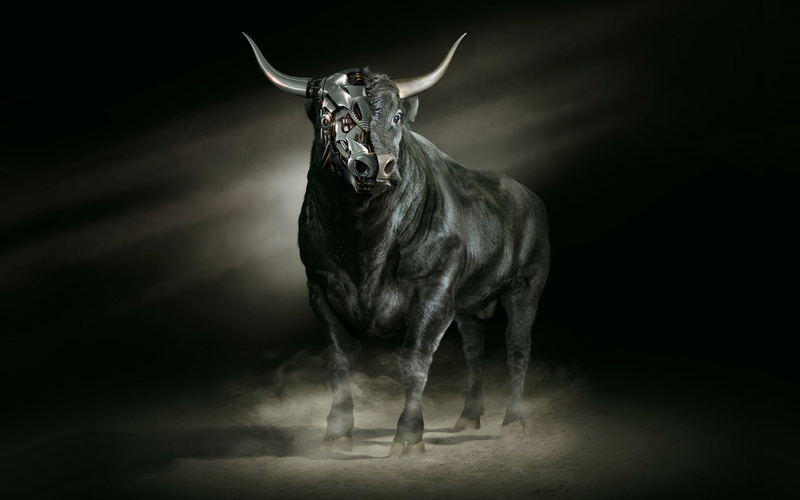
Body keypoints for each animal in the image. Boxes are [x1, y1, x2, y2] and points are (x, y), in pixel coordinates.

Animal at [244, 32, 550, 456]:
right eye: (329, 119)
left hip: (526, 286)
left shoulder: (434, 289)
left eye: (397, 117)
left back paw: (514, 422)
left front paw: (408, 436)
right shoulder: (320, 286)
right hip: (468, 302)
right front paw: (336, 433)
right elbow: (340, 360)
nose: (376, 165)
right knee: (474, 350)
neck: (366, 242)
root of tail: (530, 197)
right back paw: (468, 417)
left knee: (517, 348)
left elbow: (414, 360)